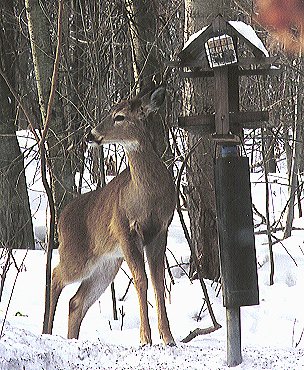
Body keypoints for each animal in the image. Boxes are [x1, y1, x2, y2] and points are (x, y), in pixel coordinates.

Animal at [46, 86, 177, 346]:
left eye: (119, 116)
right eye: (111, 111)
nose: (91, 135)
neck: (147, 196)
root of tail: (61, 218)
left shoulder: (160, 230)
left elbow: (158, 282)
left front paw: (168, 338)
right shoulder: (124, 229)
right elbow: (141, 280)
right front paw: (145, 338)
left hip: (107, 264)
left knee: (76, 301)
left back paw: (71, 339)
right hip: (77, 256)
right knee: (56, 276)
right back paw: (46, 331)